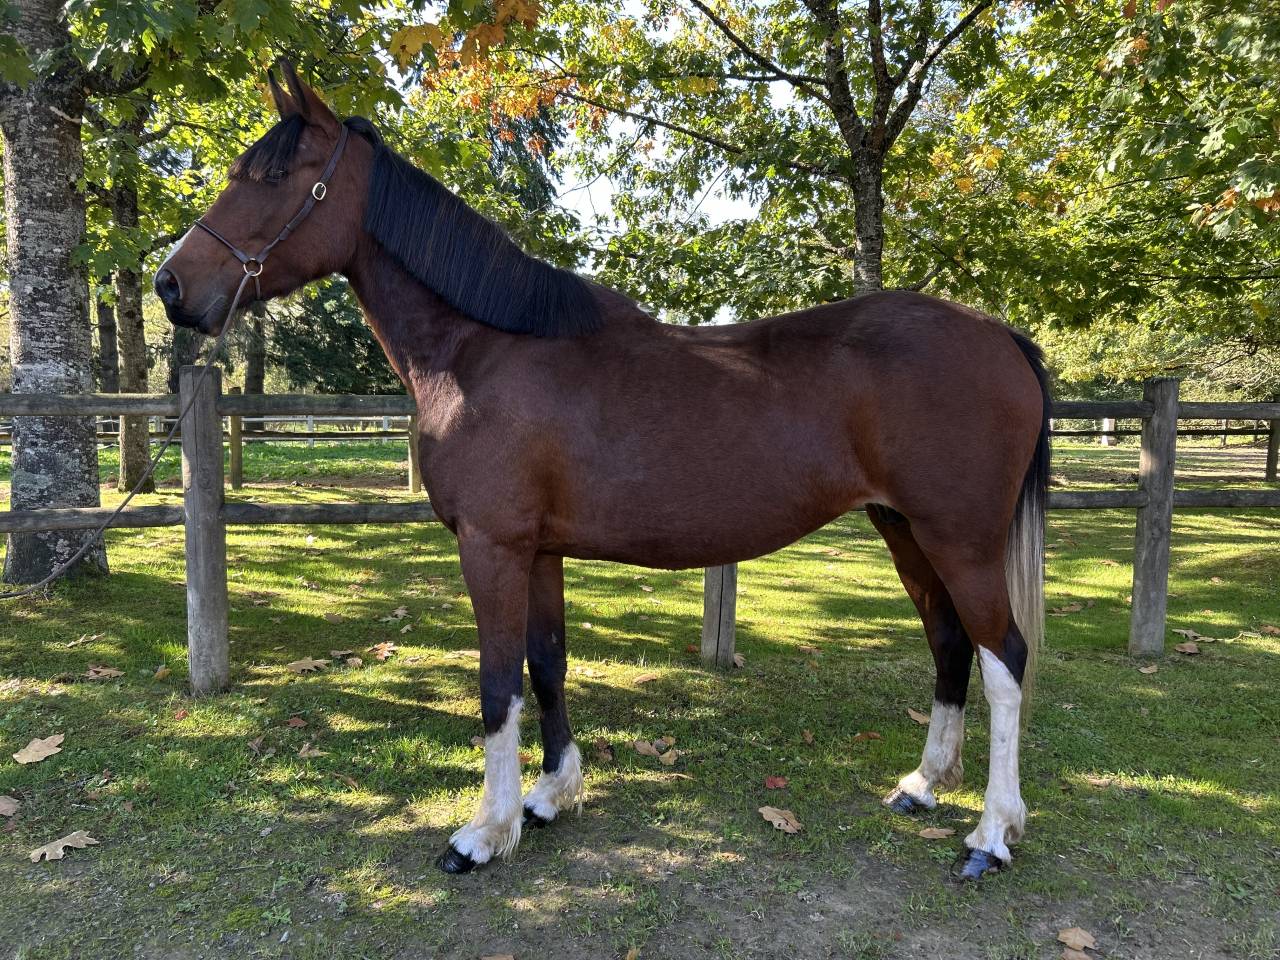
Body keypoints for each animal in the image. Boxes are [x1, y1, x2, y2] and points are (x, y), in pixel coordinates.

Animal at [156, 61, 1050, 882]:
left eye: (275, 177)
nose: (171, 285)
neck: (483, 350)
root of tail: (1001, 336)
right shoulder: (539, 550)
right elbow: (547, 666)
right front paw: (550, 797)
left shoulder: (491, 547)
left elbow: (496, 684)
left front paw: (484, 832)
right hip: (904, 529)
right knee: (950, 644)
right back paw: (924, 785)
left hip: (958, 539)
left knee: (1005, 658)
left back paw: (992, 833)